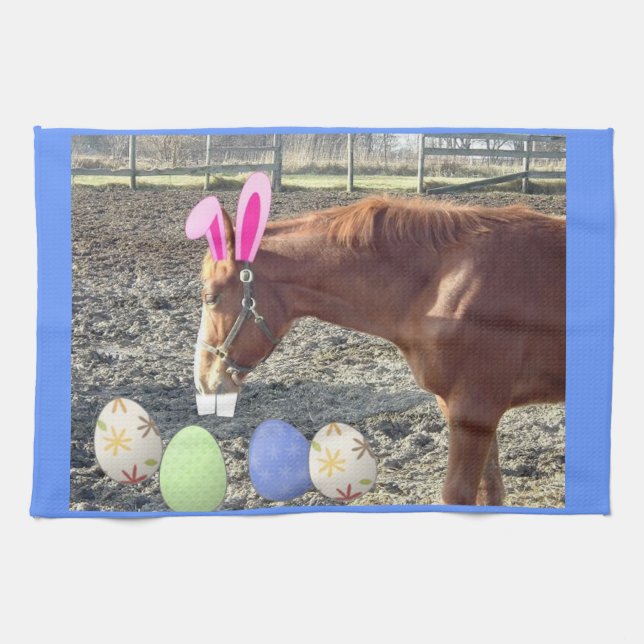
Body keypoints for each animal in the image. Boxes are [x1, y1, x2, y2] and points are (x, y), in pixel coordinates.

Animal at [193, 195, 565, 506]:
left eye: (211, 298)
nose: (204, 381)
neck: (444, 283)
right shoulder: (469, 415)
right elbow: (490, 494)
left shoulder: (475, 412)